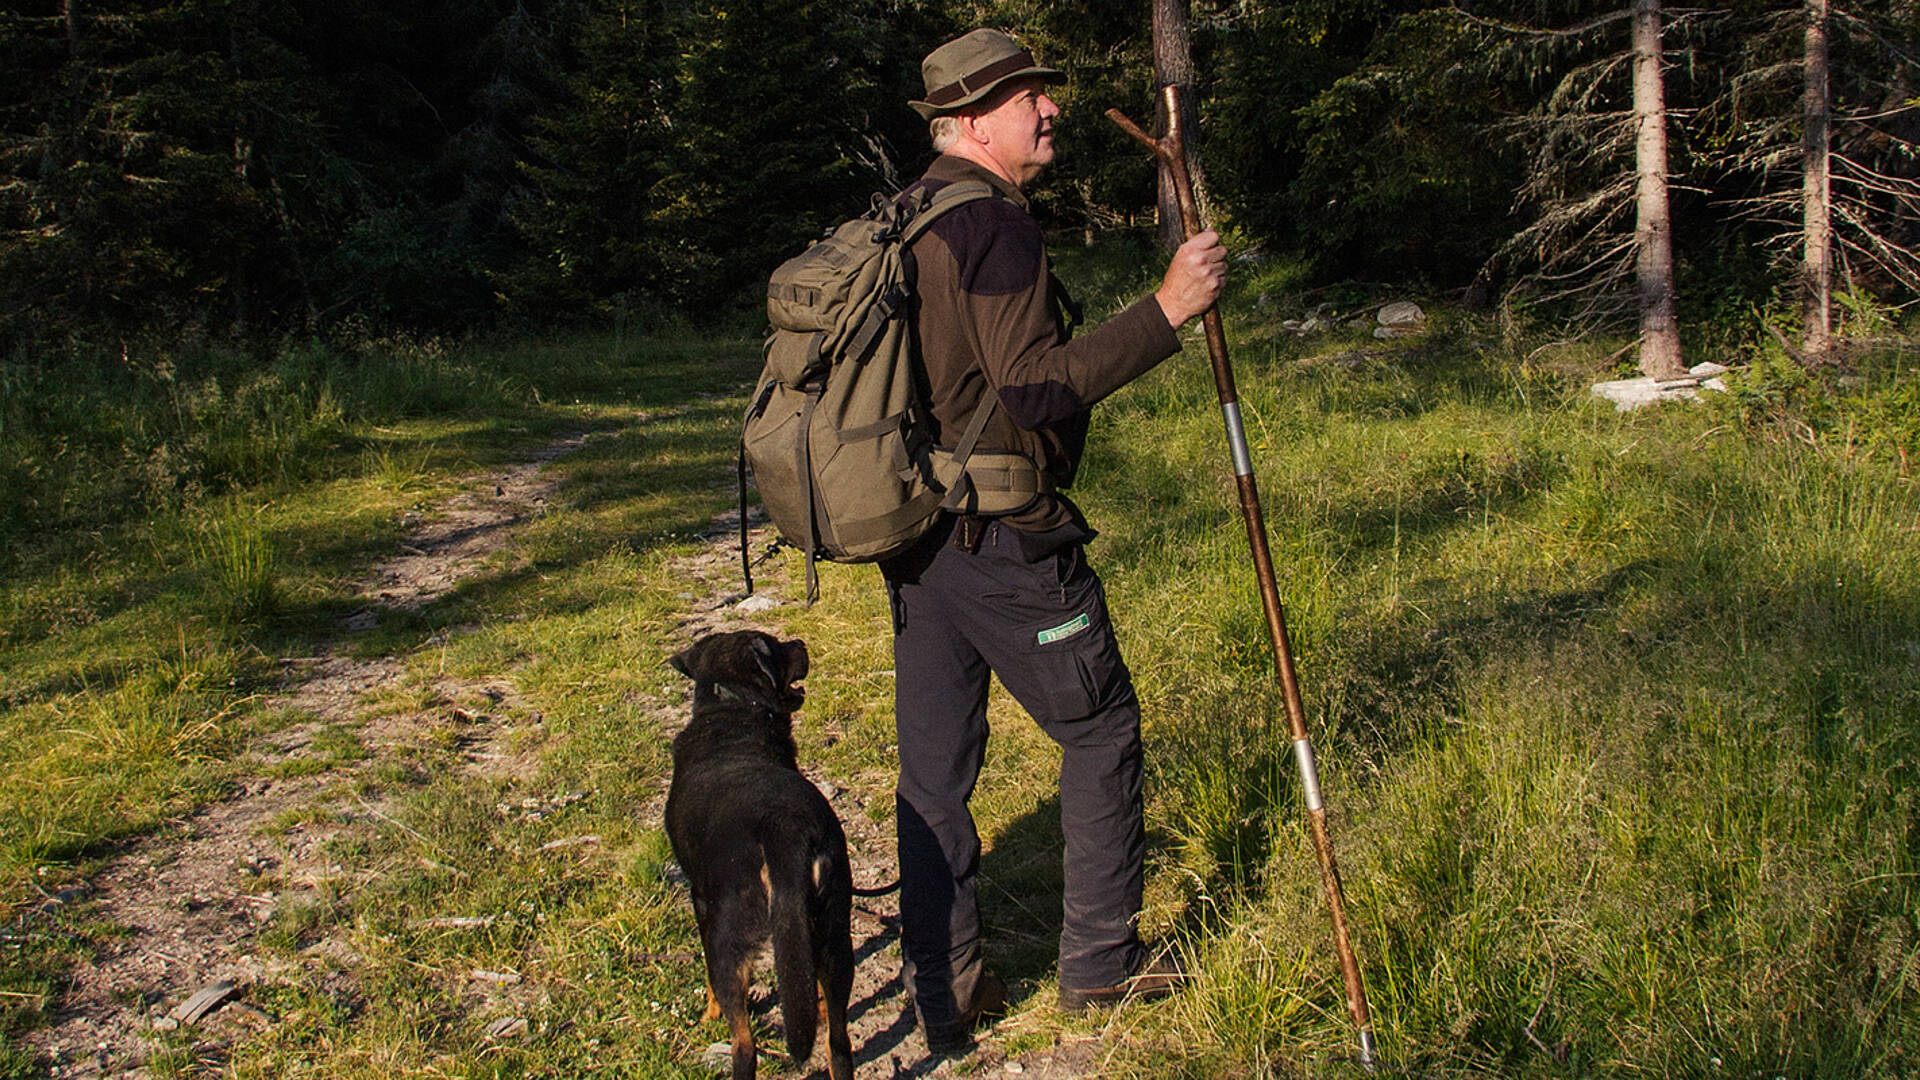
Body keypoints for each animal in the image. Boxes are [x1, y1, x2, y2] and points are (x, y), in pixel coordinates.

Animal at [668, 626, 856, 1076]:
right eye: (779, 646)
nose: (801, 643)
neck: (733, 707)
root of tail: (781, 832)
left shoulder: (700, 901)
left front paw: (709, 1012)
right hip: (836, 933)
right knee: (839, 1044)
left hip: (731, 938)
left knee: (744, 1047)